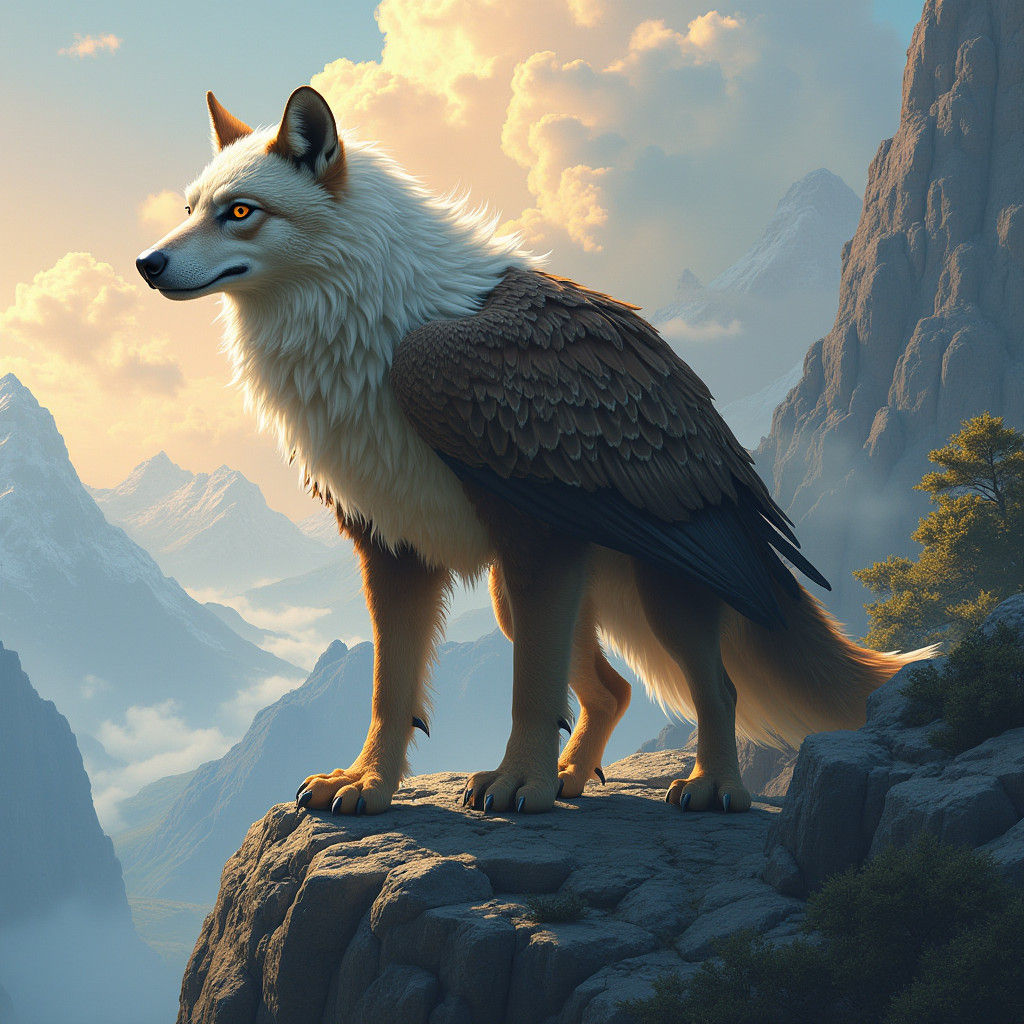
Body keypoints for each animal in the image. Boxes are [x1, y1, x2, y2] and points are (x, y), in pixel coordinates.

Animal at [137, 87, 933, 817]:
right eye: (190, 207)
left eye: (240, 212)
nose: (147, 263)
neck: (376, 332)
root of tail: (739, 472)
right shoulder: (392, 544)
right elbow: (392, 692)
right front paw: (369, 783)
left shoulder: (536, 541)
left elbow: (528, 691)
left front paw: (519, 783)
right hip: (520, 594)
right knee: (612, 690)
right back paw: (574, 778)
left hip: (660, 588)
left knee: (717, 687)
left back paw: (713, 789)